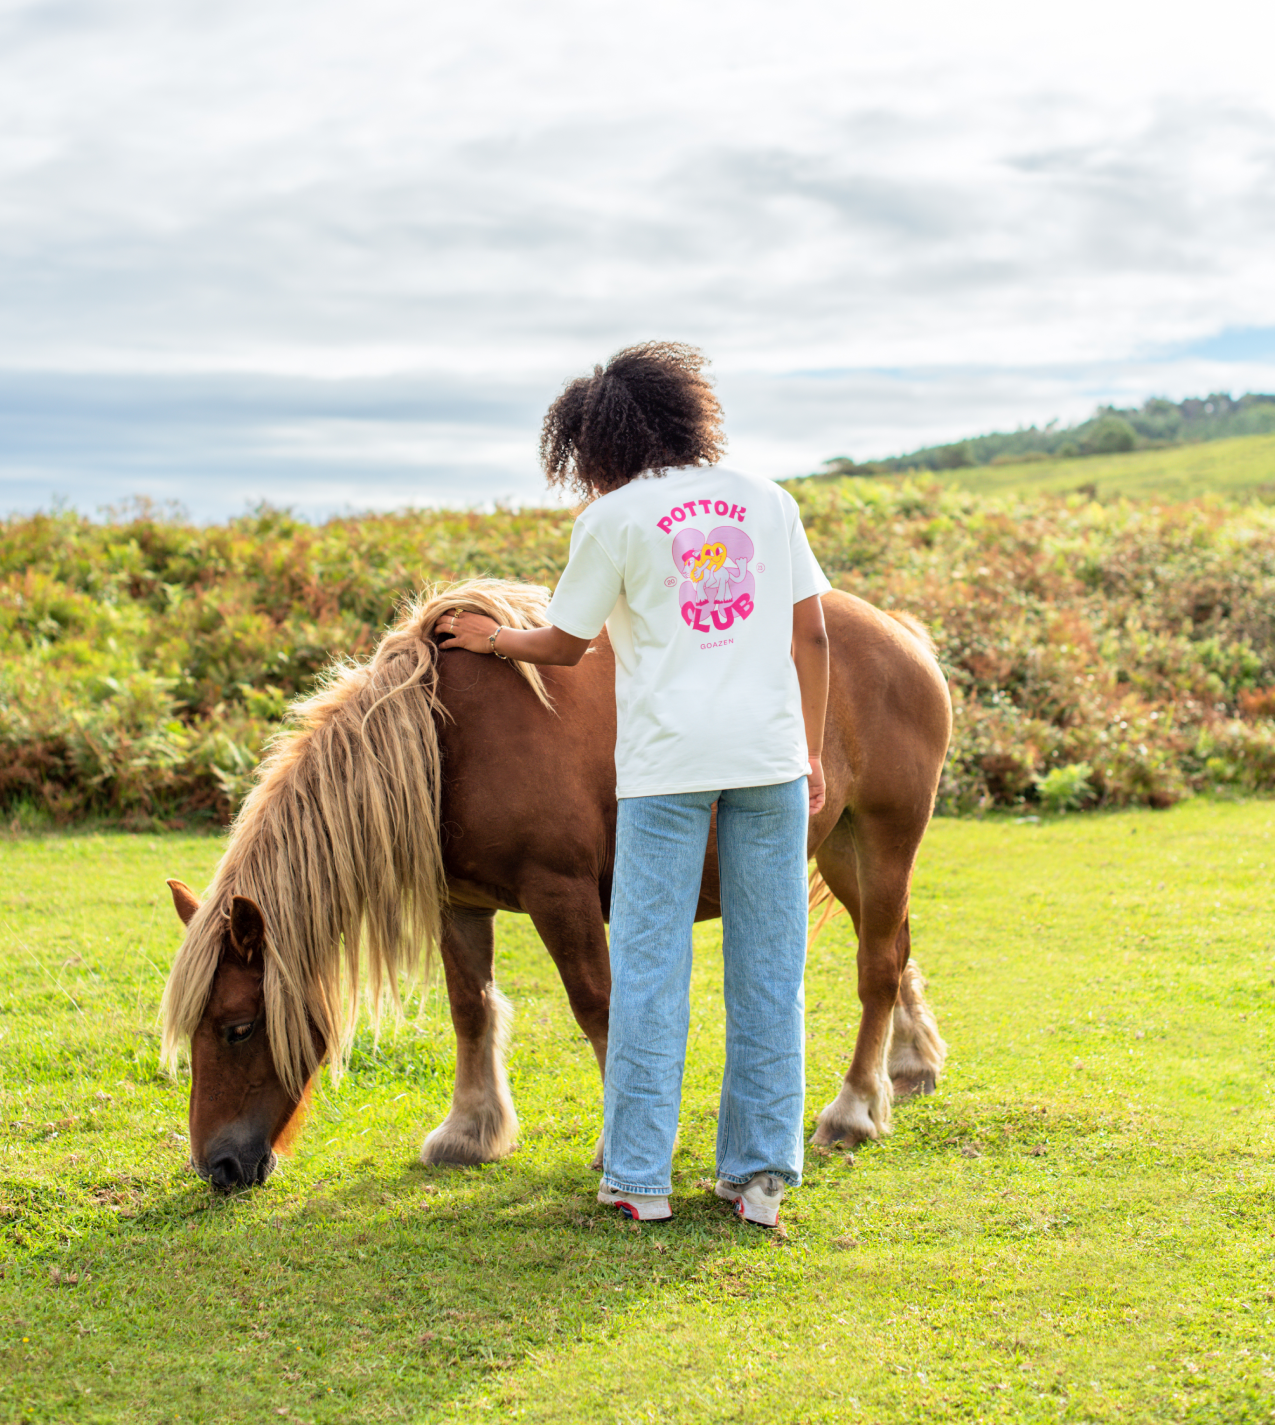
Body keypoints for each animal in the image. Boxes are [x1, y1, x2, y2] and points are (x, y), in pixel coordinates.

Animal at [162, 572, 945, 1185]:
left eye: (236, 1028)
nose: (216, 1167)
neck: (448, 741)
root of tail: (901, 633)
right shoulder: (458, 904)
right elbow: (470, 1008)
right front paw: (470, 1131)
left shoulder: (559, 893)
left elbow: (598, 1008)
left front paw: (620, 1147)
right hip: (844, 849)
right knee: (897, 951)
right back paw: (906, 1069)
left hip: (883, 838)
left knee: (876, 968)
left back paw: (853, 1108)